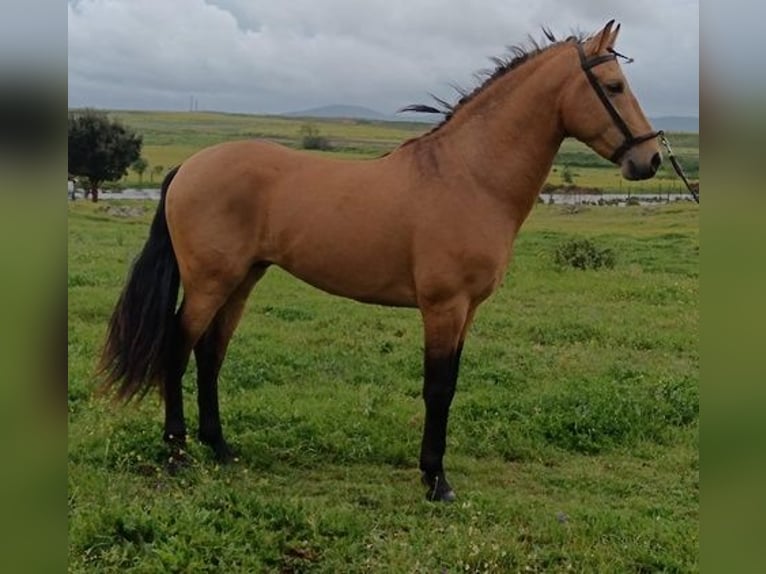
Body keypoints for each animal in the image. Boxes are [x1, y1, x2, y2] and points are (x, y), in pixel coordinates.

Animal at [100, 20, 664, 502]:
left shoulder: (467, 311)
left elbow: (449, 384)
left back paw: (220, 448)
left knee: (210, 353)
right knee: (178, 348)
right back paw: (177, 453)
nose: (651, 159)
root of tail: (188, 167)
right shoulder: (443, 306)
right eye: (614, 85)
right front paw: (436, 480)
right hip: (209, 283)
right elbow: (438, 388)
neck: (469, 176)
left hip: (241, 281)